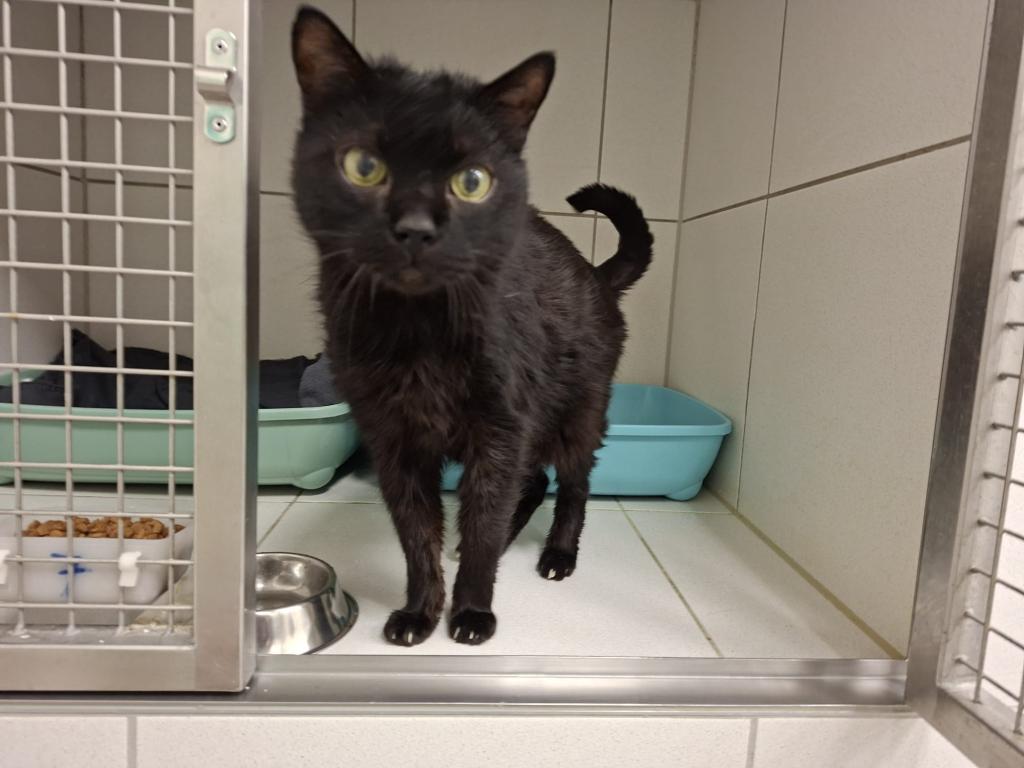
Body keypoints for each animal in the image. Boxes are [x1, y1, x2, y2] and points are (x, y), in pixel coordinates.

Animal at [290, 6, 653, 646]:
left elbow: (481, 525)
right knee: (532, 484)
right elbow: (417, 536)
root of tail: (596, 274)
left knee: (574, 484)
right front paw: (420, 611)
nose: (415, 228)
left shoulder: (499, 432)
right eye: (364, 167)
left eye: (472, 180)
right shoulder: (395, 444)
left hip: (577, 414)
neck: (417, 333)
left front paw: (472, 613)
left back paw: (558, 556)